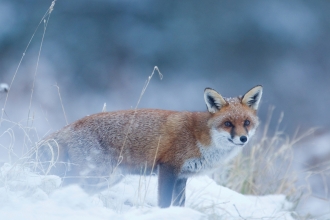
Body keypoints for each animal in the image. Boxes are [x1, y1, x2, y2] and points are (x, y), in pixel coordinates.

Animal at [34, 85, 262, 208]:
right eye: (228, 124)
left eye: (246, 123)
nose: (243, 139)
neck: (201, 138)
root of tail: (70, 126)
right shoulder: (168, 168)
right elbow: (164, 203)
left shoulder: (183, 177)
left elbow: (179, 204)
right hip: (98, 175)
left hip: (106, 178)